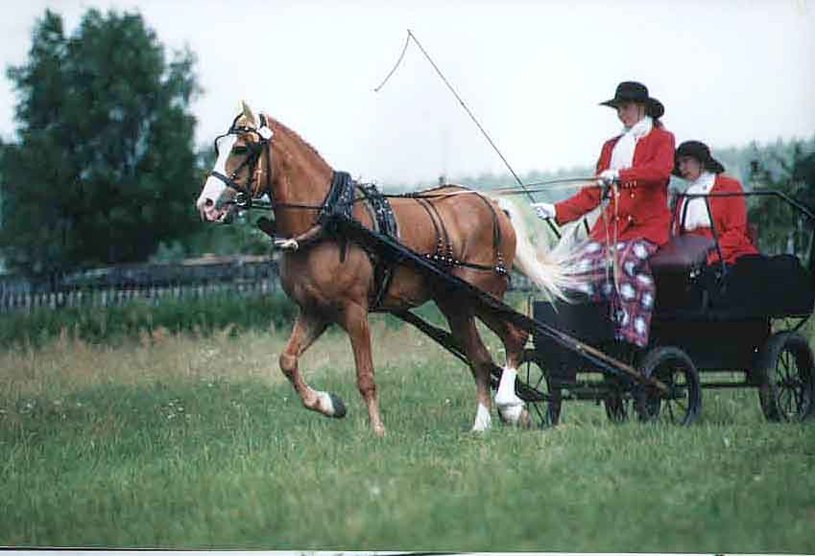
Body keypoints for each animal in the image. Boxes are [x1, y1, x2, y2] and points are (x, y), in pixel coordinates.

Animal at [195, 102, 572, 436]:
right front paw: (330, 404)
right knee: (479, 357)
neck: (329, 219)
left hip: (484, 293)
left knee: (515, 337)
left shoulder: (354, 310)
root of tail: (492, 204)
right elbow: (287, 361)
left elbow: (366, 377)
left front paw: (377, 430)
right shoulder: (315, 311)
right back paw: (482, 425)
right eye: (219, 147)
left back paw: (511, 405)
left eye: (242, 148)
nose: (207, 204)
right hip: (454, 302)